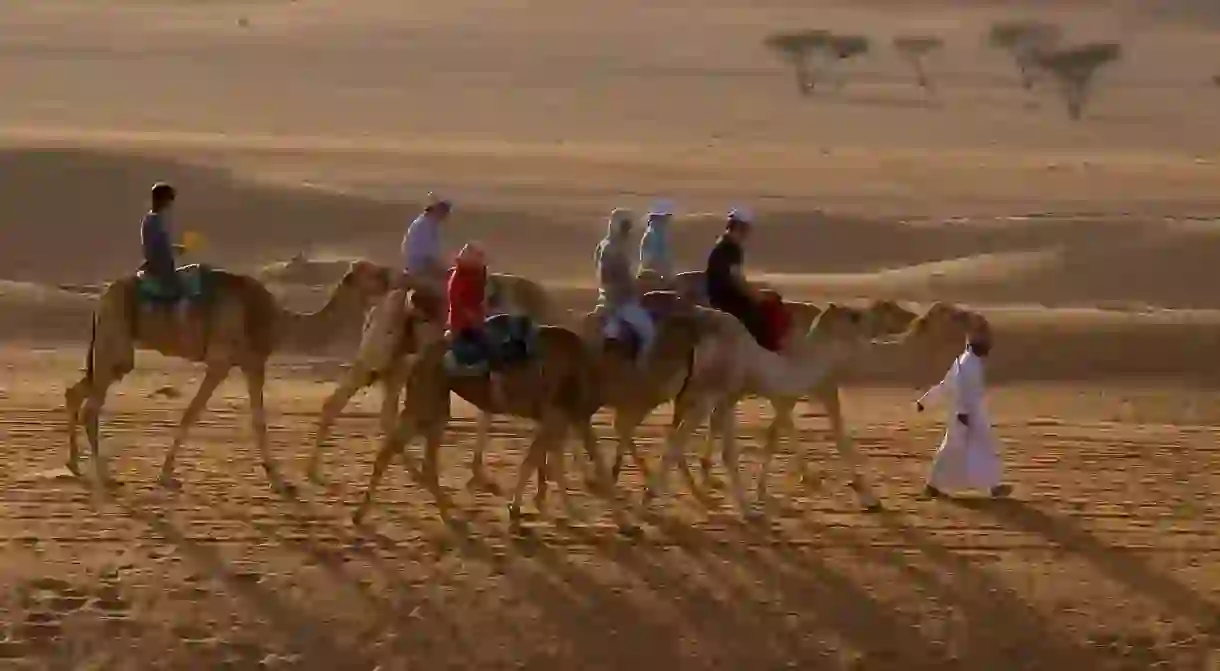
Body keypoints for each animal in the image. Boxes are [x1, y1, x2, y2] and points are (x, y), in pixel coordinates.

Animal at [64, 262, 387, 490]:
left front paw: (278, 478)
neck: (275, 320)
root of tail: (102, 297)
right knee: (91, 407)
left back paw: (74, 465)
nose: (393, 276)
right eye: (374, 273)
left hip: (112, 350)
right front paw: (166, 475)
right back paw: (105, 476)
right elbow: (192, 412)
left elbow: (258, 420)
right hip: (114, 341)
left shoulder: (252, 363)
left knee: (75, 393)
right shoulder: (221, 362)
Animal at [309, 270, 566, 485]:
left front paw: (480, 474)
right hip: (382, 357)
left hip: (394, 364)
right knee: (349, 405)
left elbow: (487, 416)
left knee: (376, 411)